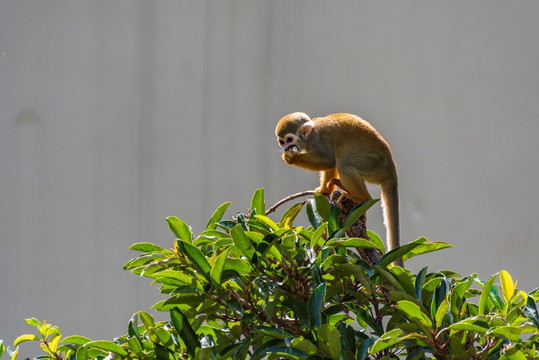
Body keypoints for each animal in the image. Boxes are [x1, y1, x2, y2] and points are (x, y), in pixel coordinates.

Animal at [278, 111, 400, 262]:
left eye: (289, 139)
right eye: (282, 141)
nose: (285, 147)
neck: (309, 136)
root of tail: (391, 169)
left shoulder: (317, 142)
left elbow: (329, 160)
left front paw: (292, 158)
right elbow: (330, 165)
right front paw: (324, 190)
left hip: (376, 166)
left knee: (343, 164)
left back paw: (361, 198)